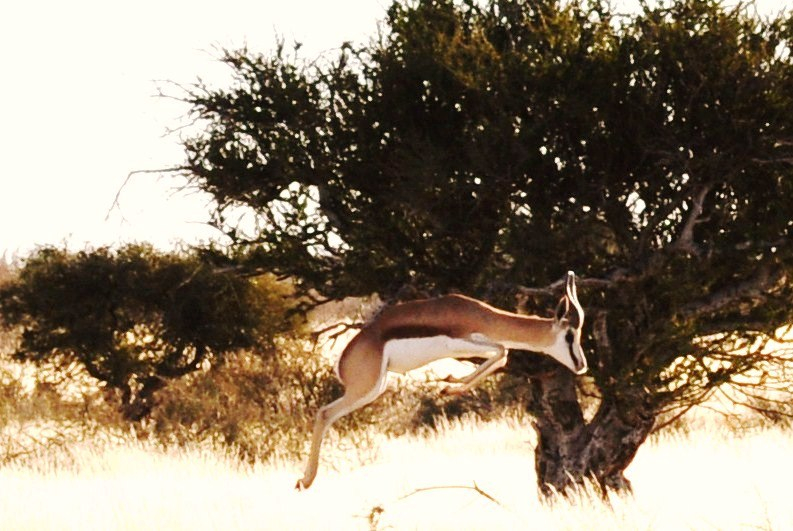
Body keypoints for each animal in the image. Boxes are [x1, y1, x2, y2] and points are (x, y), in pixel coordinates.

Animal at [294, 270, 584, 490]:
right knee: (323, 413)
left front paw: (448, 385)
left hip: (374, 388)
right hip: (364, 388)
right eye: (570, 334)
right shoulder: (463, 342)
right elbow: (502, 351)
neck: (479, 314)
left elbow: (501, 356)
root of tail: (343, 359)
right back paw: (305, 481)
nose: (581, 365)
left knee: (328, 415)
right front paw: (447, 384)